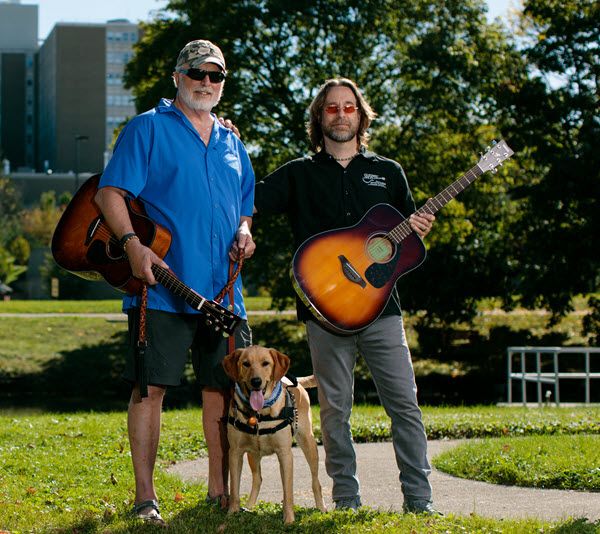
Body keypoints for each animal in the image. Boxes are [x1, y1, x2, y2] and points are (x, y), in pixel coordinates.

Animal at [223, 346, 326, 524]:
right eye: (246, 363)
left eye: (266, 363)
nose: (256, 381)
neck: (259, 414)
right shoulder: (235, 452)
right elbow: (234, 488)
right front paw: (232, 515)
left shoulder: (285, 454)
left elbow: (288, 491)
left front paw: (289, 520)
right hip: (252, 454)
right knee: (257, 478)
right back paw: (249, 507)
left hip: (309, 443)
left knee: (315, 481)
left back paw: (321, 507)